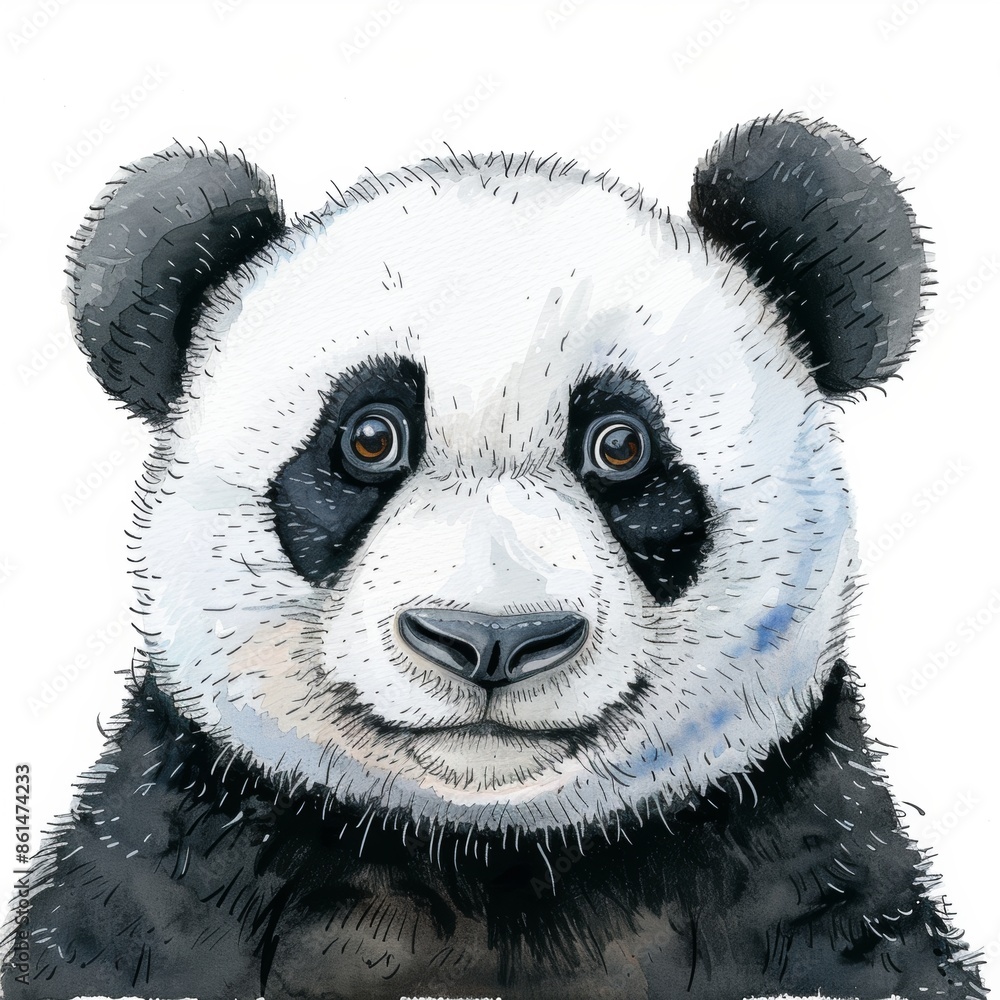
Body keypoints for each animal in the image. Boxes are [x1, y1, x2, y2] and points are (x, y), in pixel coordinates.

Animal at [1, 114, 986, 1000]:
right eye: (369, 437)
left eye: (620, 446)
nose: (491, 639)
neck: (489, 861)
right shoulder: (175, 870)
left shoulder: (799, 878)